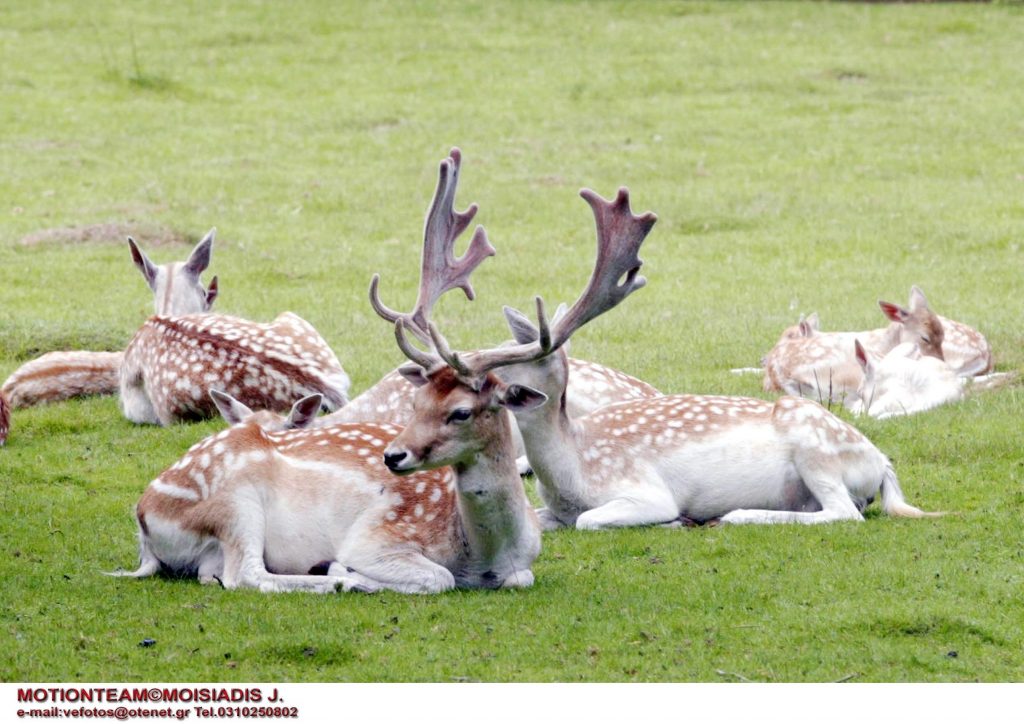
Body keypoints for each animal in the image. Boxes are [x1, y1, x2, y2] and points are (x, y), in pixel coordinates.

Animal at [110, 148, 544, 593]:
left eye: (461, 412)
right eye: (416, 404)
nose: (394, 457)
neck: (483, 555)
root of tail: (143, 521)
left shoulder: (521, 566)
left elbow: (520, 578)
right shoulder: (376, 535)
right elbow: (438, 576)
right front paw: (344, 570)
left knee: (215, 574)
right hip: (236, 503)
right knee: (247, 575)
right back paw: (336, 578)